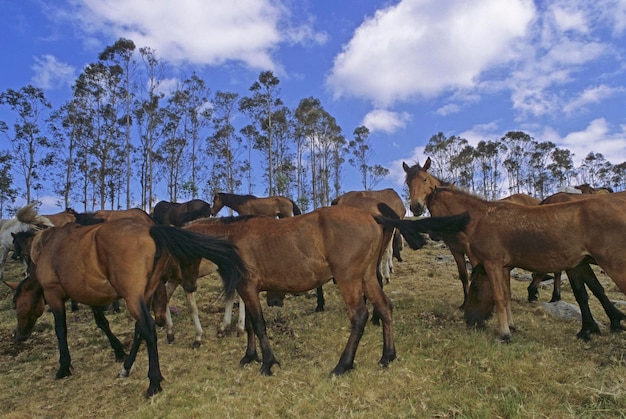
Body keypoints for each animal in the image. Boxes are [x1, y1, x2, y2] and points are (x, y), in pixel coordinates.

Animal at [11, 218, 246, 398]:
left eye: (16, 305)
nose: (18, 335)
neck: (46, 248)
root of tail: (152, 230)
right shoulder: (91, 294)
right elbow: (103, 322)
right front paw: (120, 352)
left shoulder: (54, 294)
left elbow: (61, 330)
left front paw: (63, 367)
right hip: (144, 292)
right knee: (141, 328)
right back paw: (127, 368)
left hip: (133, 295)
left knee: (148, 328)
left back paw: (153, 382)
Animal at [178, 205, 466, 376]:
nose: (189, 285)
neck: (234, 239)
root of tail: (372, 215)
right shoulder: (249, 290)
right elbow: (250, 325)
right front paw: (250, 356)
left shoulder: (248, 288)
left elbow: (258, 325)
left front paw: (268, 363)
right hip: (366, 277)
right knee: (384, 307)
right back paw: (387, 356)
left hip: (349, 279)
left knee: (359, 316)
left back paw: (343, 364)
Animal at [416, 188, 624, 344]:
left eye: (431, 207)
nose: (469, 321)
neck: (482, 219)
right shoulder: (505, 267)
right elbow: (507, 296)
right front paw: (511, 326)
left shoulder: (493, 264)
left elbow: (499, 297)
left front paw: (504, 334)